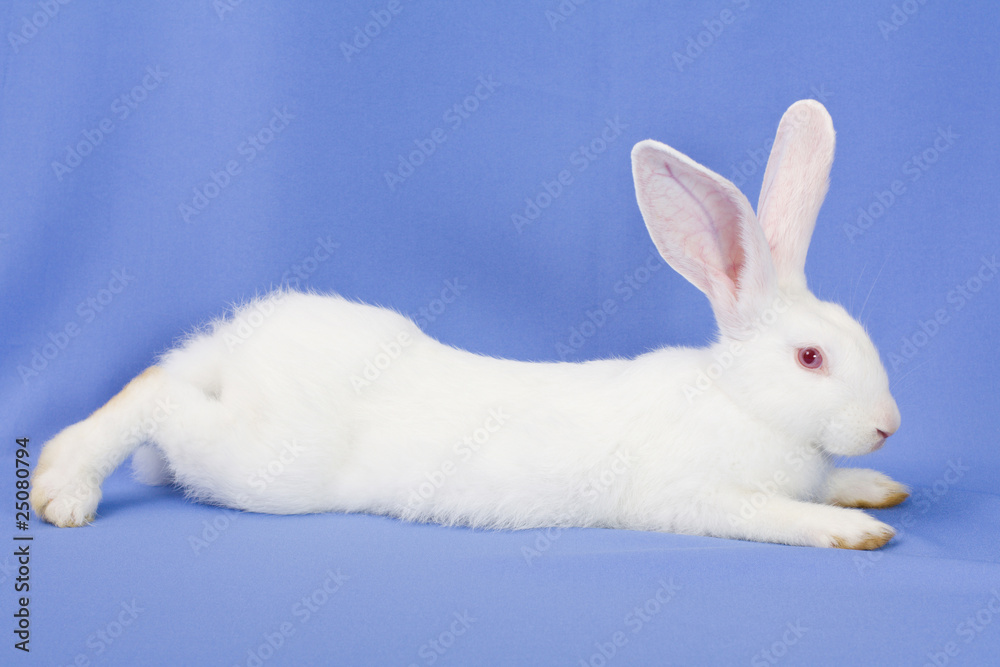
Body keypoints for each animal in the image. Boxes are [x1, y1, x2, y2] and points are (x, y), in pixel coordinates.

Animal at [31, 99, 908, 549]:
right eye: (810, 357)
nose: (888, 426)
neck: (741, 403)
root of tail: (242, 342)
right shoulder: (699, 496)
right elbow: (780, 514)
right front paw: (855, 529)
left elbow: (829, 481)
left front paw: (876, 488)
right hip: (258, 465)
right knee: (153, 393)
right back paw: (60, 489)